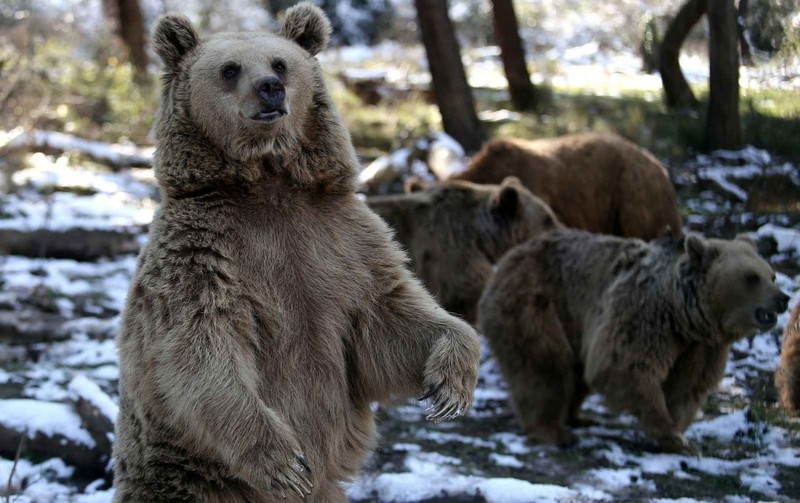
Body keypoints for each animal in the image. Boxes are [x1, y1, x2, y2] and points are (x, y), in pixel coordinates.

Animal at [115, 4, 478, 503]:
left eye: (280, 62)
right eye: (230, 68)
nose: (270, 87)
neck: (270, 183)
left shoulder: (342, 243)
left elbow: (390, 320)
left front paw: (449, 387)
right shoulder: (201, 257)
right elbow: (201, 349)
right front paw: (285, 462)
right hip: (180, 469)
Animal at [478, 230, 792, 454]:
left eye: (771, 274)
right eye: (751, 277)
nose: (783, 298)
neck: (685, 315)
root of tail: (511, 255)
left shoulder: (700, 347)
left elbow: (687, 387)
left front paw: (678, 435)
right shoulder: (644, 317)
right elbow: (625, 367)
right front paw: (669, 433)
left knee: (576, 374)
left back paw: (578, 418)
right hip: (539, 303)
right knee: (545, 367)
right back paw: (552, 431)